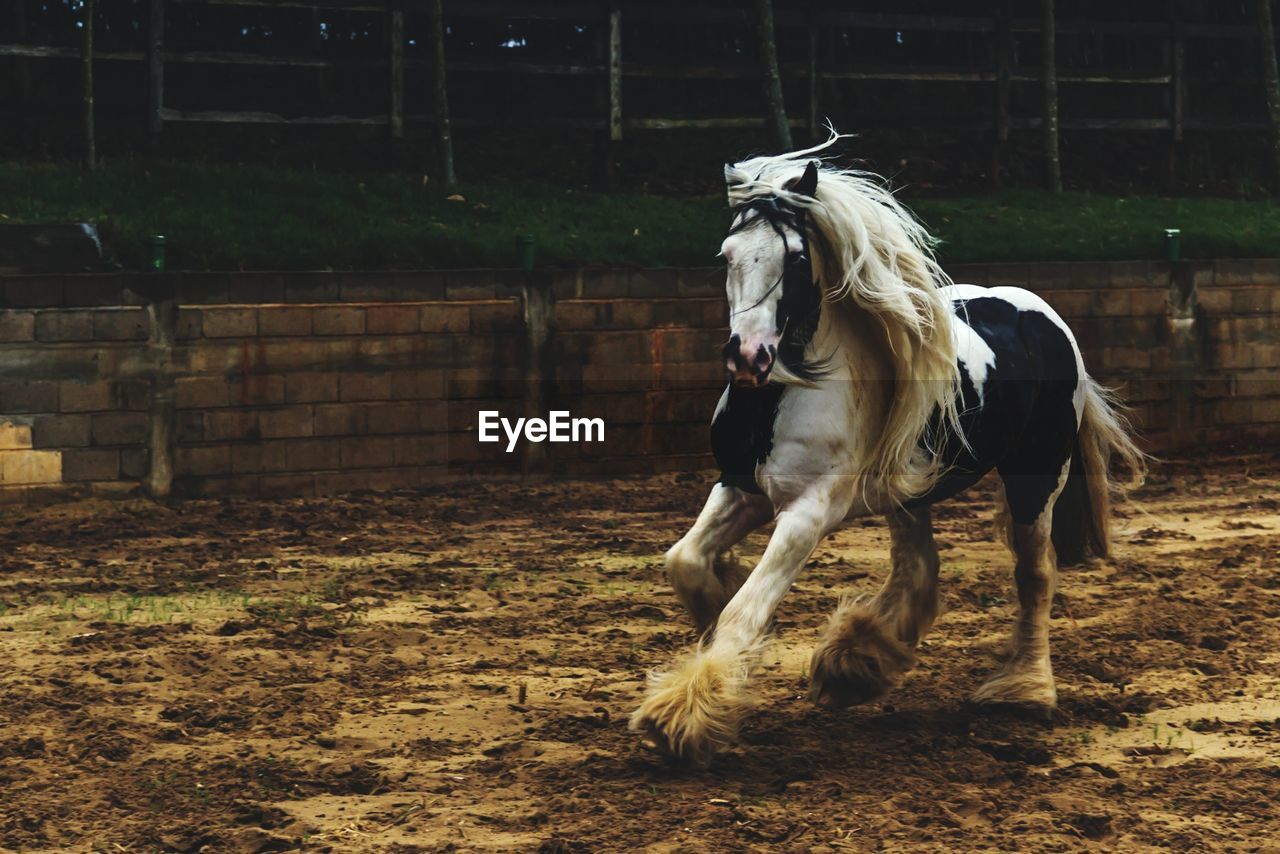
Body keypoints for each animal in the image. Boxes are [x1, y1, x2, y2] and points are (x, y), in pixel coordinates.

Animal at [624, 133, 1146, 768]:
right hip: (908, 493)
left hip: (1035, 478)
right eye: (726, 255)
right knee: (920, 567)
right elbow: (686, 562)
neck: (788, 392)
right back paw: (856, 666)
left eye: (796, 259)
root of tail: (1046, 317)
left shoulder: (809, 512)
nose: (747, 356)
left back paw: (1024, 690)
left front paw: (681, 716)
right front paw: (713, 646)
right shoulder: (741, 487)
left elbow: (745, 609)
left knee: (1034, 575)